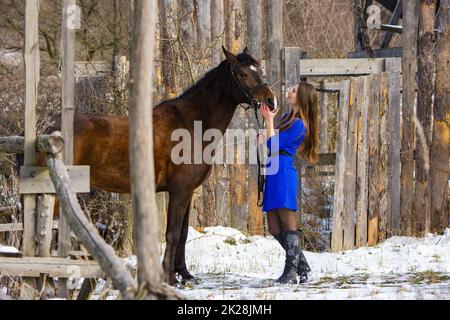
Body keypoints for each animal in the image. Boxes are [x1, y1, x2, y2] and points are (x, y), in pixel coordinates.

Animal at [42, 46, 278, 284]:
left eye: (259, 70)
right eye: (242, 74)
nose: (271, 101)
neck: (191, 125)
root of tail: (48, 126)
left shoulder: (188, 191)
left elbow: (183, 233)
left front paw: (185, 274)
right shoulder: (179, 191)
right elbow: (172, 233)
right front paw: (169, 277)